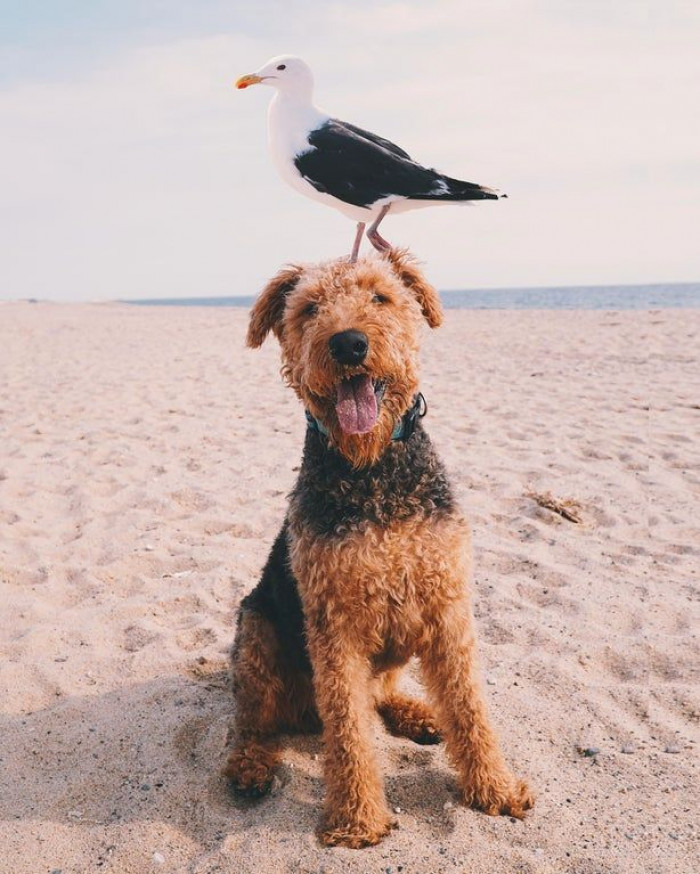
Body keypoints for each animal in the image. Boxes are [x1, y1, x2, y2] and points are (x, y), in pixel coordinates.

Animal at [227, 247, 532, 844]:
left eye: (380, 296)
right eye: (309, 308)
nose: (348, 343)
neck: (372, 473)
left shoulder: (447, 605)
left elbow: (470, 706)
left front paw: (496, 789)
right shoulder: (334, 625)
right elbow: (348, 730)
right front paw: (357, 819)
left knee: (383, 694)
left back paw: (422, 716)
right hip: (257, 631)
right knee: (253, 718)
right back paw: (249, 767)